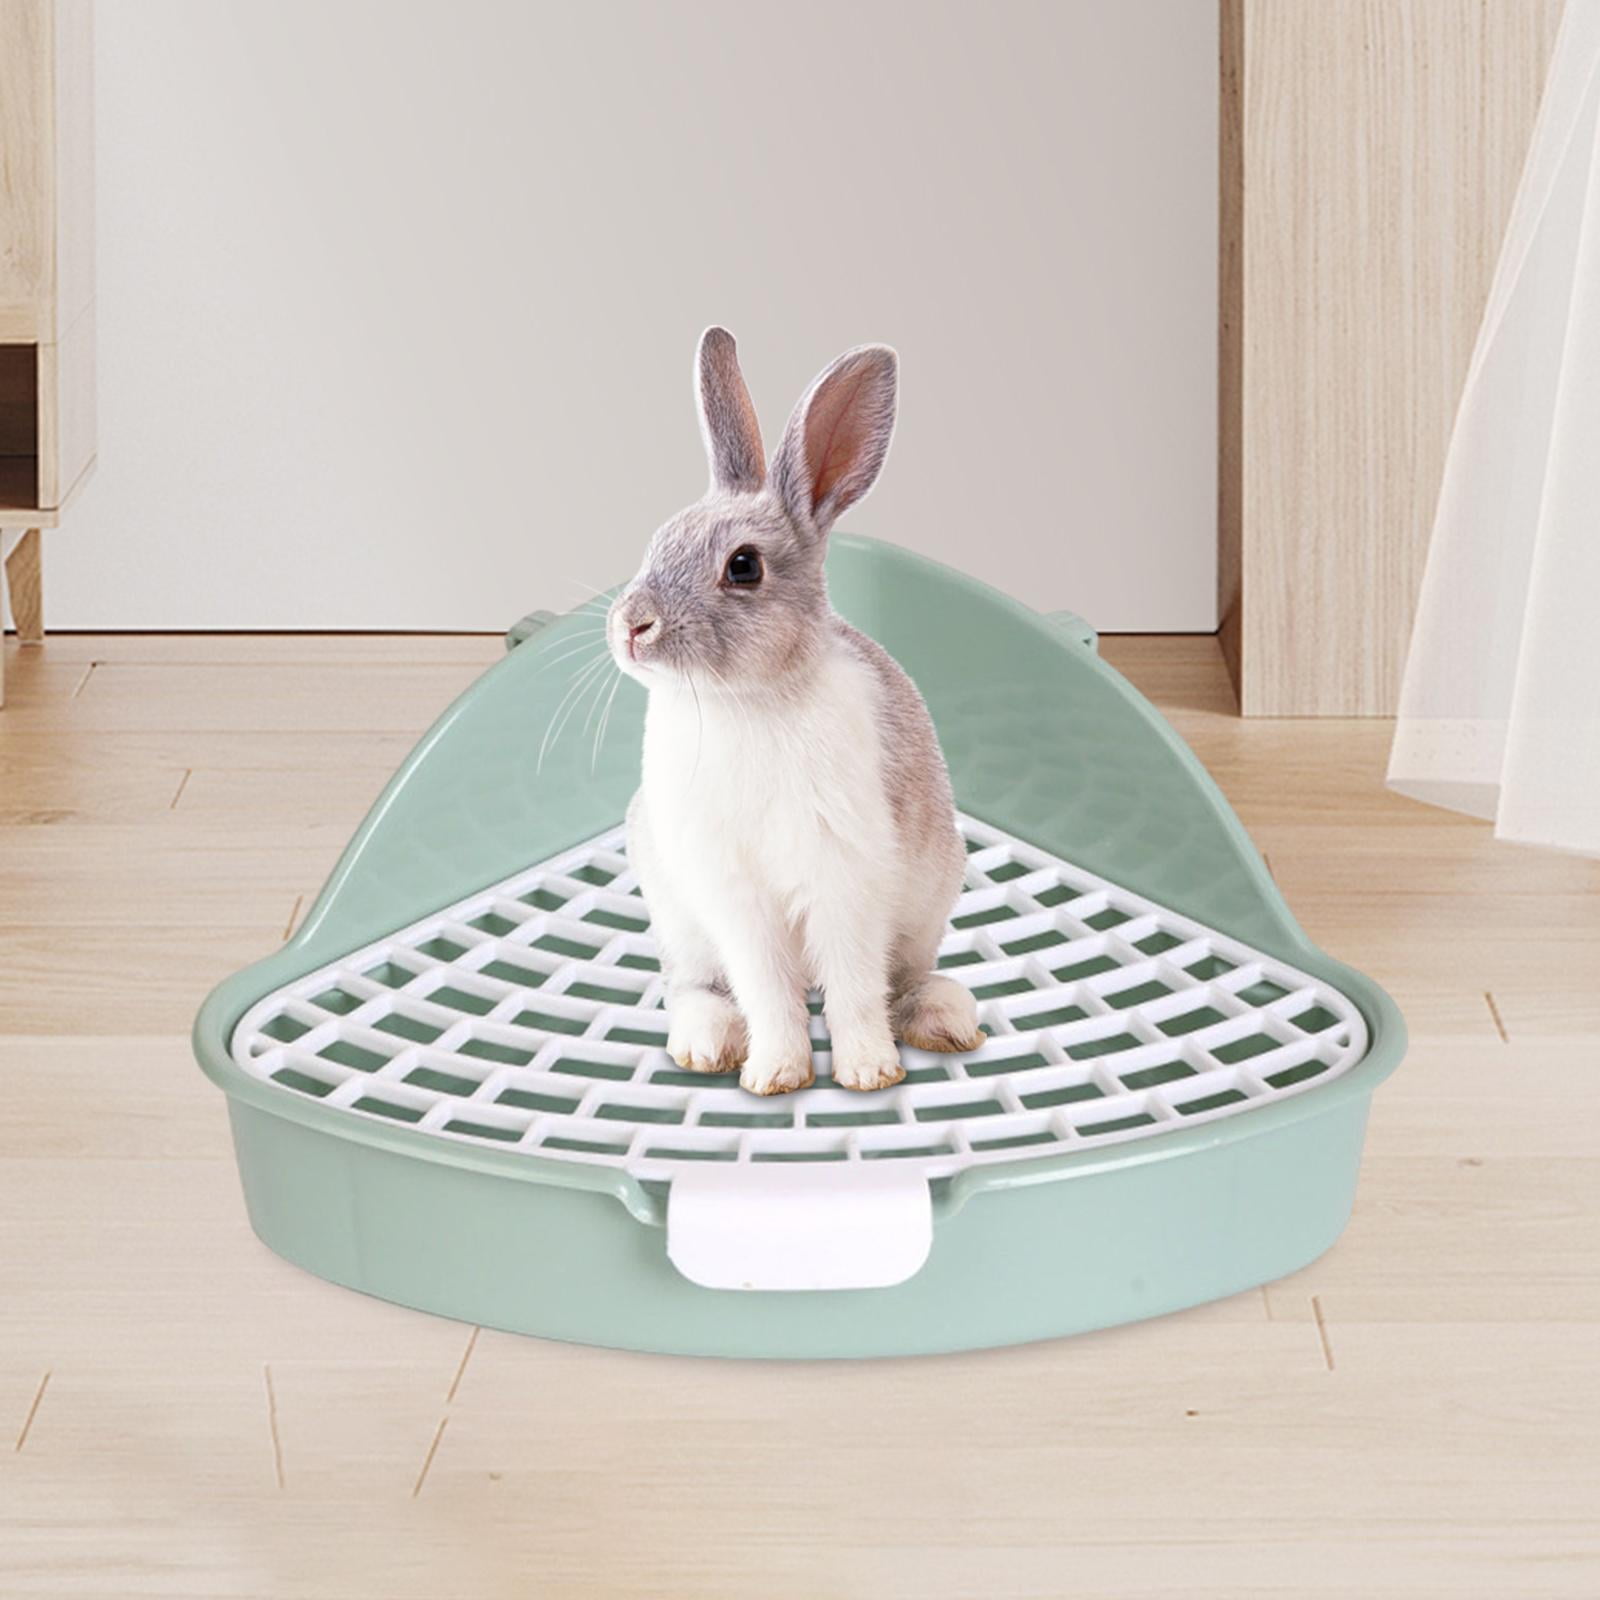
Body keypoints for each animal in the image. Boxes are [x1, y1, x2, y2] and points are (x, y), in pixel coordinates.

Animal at [606, 327, 982, 1095]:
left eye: (744, 566)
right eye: (657, 541)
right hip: (679, 918)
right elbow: (766, 989)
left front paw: (868, 1073)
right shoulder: (734, 898)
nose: (631, 626)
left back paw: (947, 1021)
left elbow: (854, 985)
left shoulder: (845, 879)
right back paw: (706, 1046)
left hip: (927, 906)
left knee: (903, 979)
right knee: (693, 987)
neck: (746, 701)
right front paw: (775, 1075)